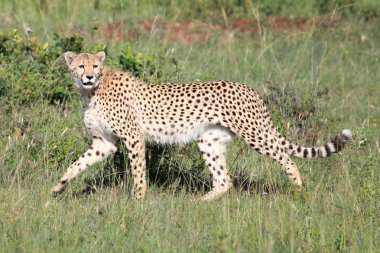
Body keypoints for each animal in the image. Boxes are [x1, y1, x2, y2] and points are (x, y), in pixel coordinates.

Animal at [51, 51, 354, 201]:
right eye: (80, 66)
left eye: (95, 66)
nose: (89, 77)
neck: (92, 92)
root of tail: (249, 89)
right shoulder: (104, 143)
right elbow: (77, 164)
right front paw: (58, 187)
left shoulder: (134, 137)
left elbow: (138, 172)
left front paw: (138, 199)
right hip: (209, 140)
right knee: (224, 179)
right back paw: (201, 202)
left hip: (254, 133)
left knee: (286, 158)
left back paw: (299, 190)